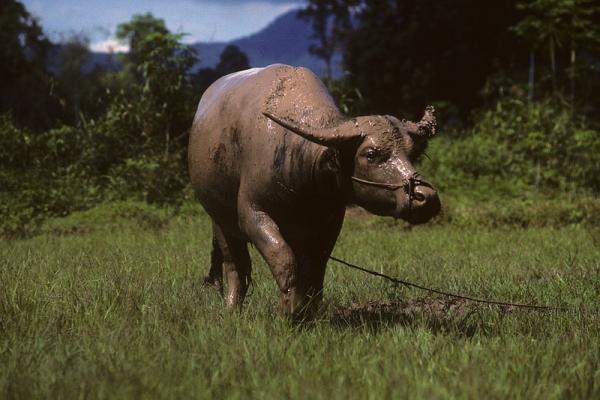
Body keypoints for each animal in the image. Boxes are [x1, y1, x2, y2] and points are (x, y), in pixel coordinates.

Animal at [189, 65, 440, 316]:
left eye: (411, 151)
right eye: (370, 154)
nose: (426, 198)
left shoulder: (330, 222)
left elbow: (315, 268)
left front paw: (308, 312)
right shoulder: (253, 214)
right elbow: (283, 259)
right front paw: (287, 310)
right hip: (219, 219)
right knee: (236, 263)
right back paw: (232, 308)